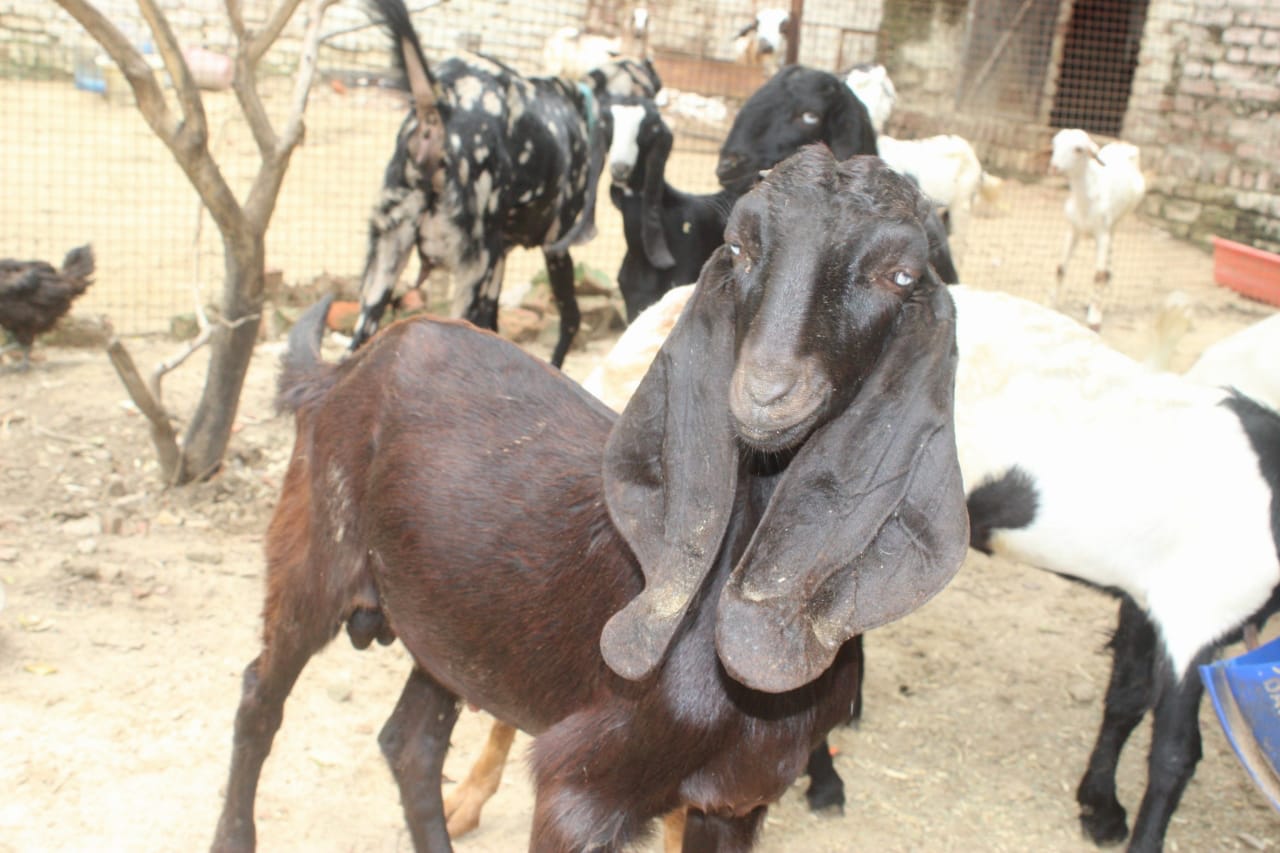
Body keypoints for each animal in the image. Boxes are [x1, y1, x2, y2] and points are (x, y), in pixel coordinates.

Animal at [210, 147, 969, 852]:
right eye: (738, 245)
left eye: (900, 275)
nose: (766, 391)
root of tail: (344, 370)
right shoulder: (579, 787)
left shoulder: (734, 802)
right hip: (315, 544)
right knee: (258, 693)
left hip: (450, 622)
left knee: (410, 740)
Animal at [349, 0, 610, 368]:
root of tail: (441, 101)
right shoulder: (553, 249)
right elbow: (570, 318)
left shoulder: (501, 258)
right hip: (473, 272)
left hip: (384, 272)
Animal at [1049, 128, 1147, 331]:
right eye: (1055, 143)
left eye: (1078, 149)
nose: (1054, 167)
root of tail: (1123, 144)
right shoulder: (1073, 230)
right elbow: (1060, 267)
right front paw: (1052, 304)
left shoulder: (1103, 234)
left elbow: (1098, 275)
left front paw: (1094, 319)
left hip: (1119, 221)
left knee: (1106, 261)